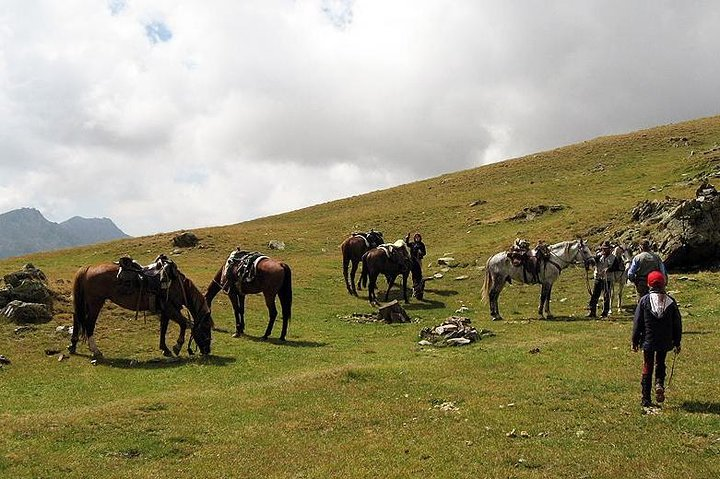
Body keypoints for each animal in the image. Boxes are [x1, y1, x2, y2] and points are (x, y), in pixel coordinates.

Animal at [69, 260, 212, 358]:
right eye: (205, 329)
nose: (207, 351)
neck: (177, 285)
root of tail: (88, 268)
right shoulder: (170, 309)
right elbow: (184, 323)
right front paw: (177, 346)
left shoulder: (165, 311)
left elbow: (163, 329)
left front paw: (164, 349)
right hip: (95, 303)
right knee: (89, 323)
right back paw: (95, 350)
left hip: (86, 303)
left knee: (77, 318)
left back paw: (73, 345)